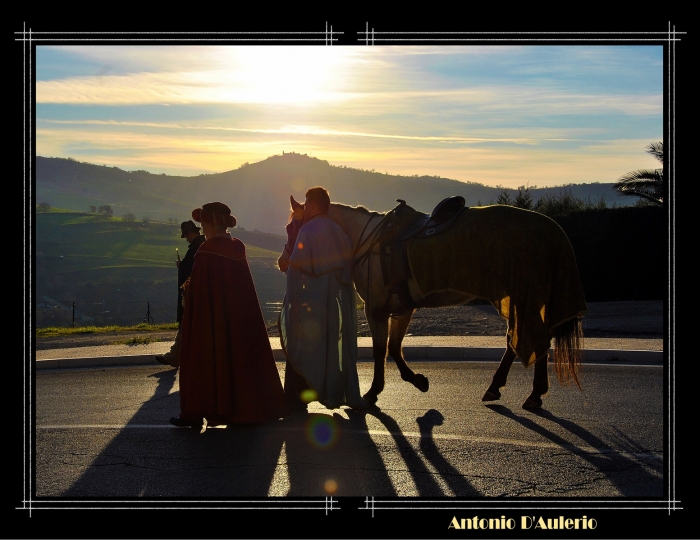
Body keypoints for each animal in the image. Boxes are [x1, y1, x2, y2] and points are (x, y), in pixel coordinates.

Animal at [276, 195, 588, 410]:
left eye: (292, 226)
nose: (282, 262)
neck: (369, 241)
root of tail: (552, 229)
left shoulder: (377, 310)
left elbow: (381, 351)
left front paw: (374, 391)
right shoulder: (401, 309)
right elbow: (394, 348)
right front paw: (417, 380)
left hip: (524, 297)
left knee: (528, 341)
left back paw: (530, 393)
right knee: (523, 342)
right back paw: (506, 389)